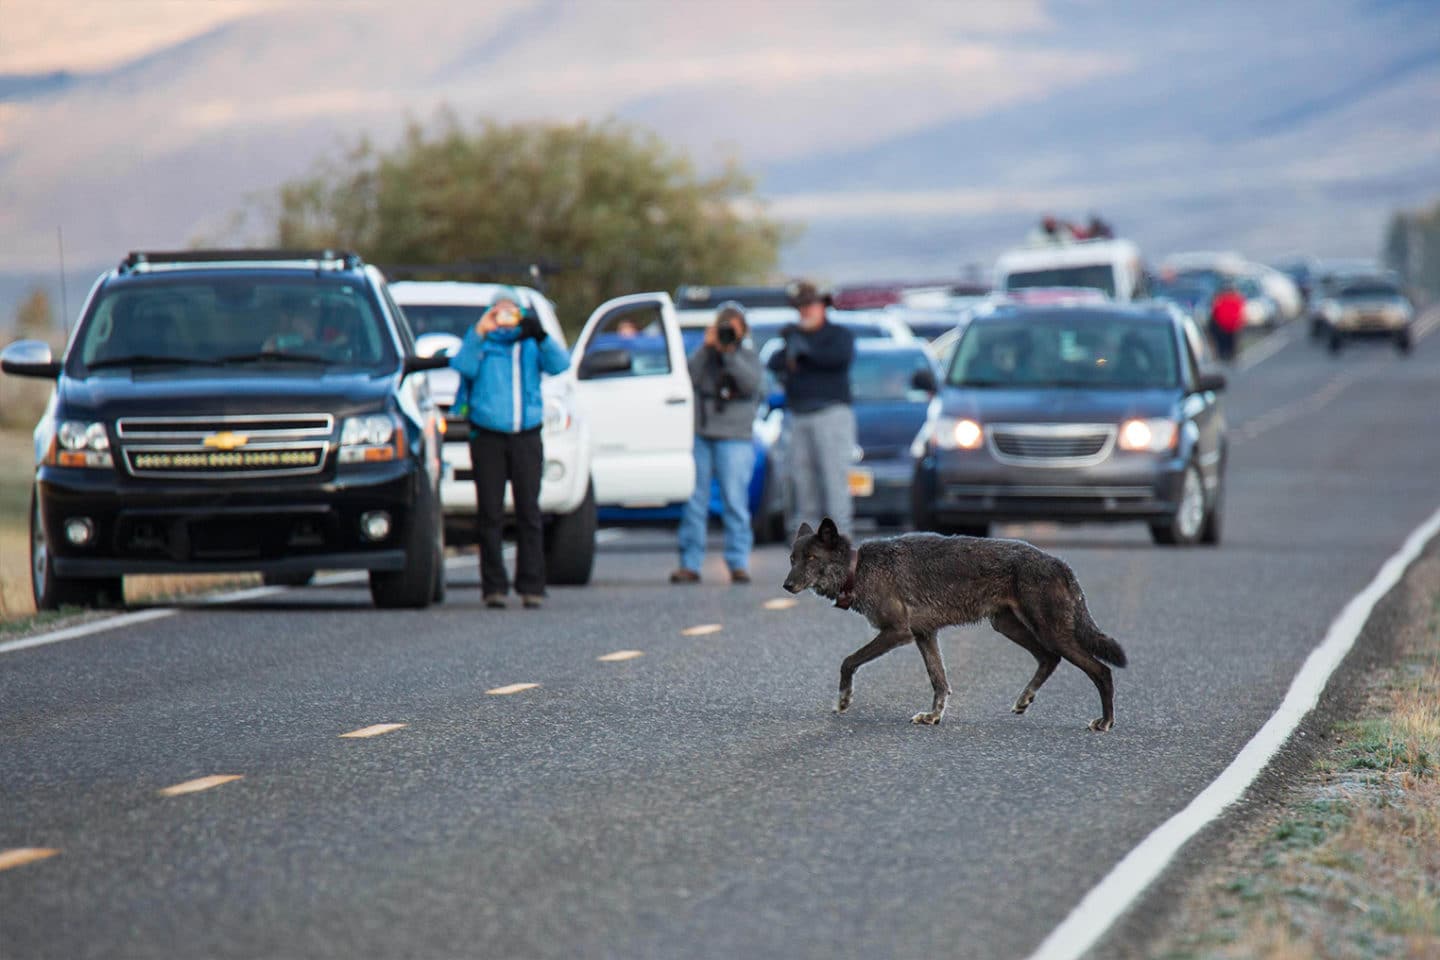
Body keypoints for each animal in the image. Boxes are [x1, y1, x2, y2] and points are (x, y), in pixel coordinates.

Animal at [783, 518, 1128, 728]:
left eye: (811, 559)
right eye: (792, 559)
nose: (786, 586)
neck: (858, 569)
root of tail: (1060, 563)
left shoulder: (898, 633)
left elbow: (848, 661)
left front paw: (843, 701)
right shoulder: (924, 635)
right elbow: (939, 681)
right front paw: (933, 716)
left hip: (1050, 632)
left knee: (1101, 671)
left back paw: (1105, 722)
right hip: (1009, 627)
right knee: (1049, 658)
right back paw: (1024, 700)